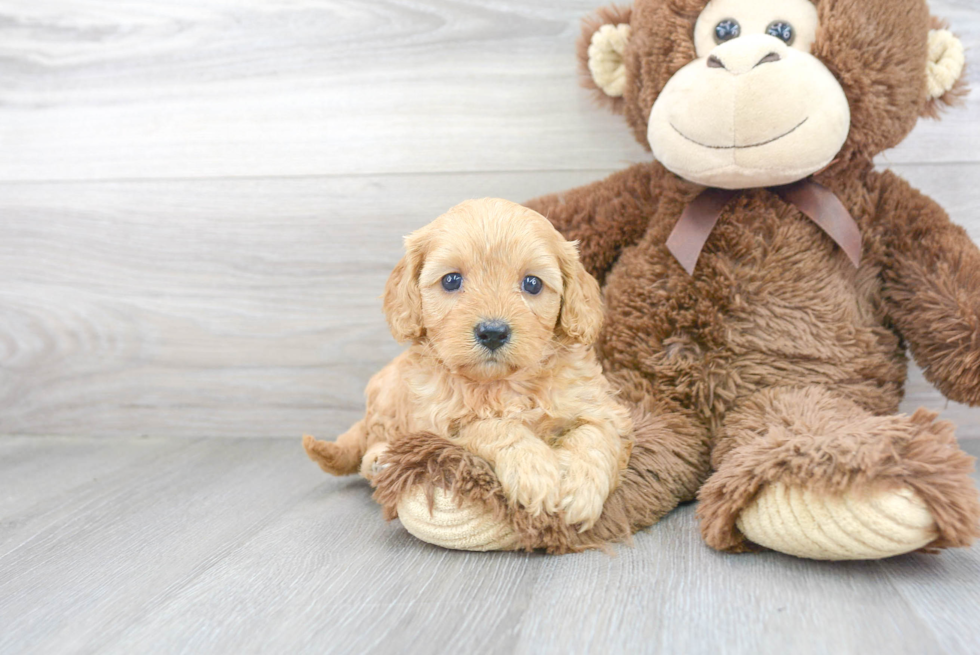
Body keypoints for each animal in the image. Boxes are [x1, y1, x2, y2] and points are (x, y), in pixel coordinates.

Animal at [302, 197, 632, 532]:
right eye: (451, 280)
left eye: (532, 284)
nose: (493, 332)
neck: (504, 384)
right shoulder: (444, 425)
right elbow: (494, 427)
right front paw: (534, 471)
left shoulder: (598, 406)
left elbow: (594, 435)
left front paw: (581, 489)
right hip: (388, 400)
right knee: (373, 438)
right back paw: (379, 460)